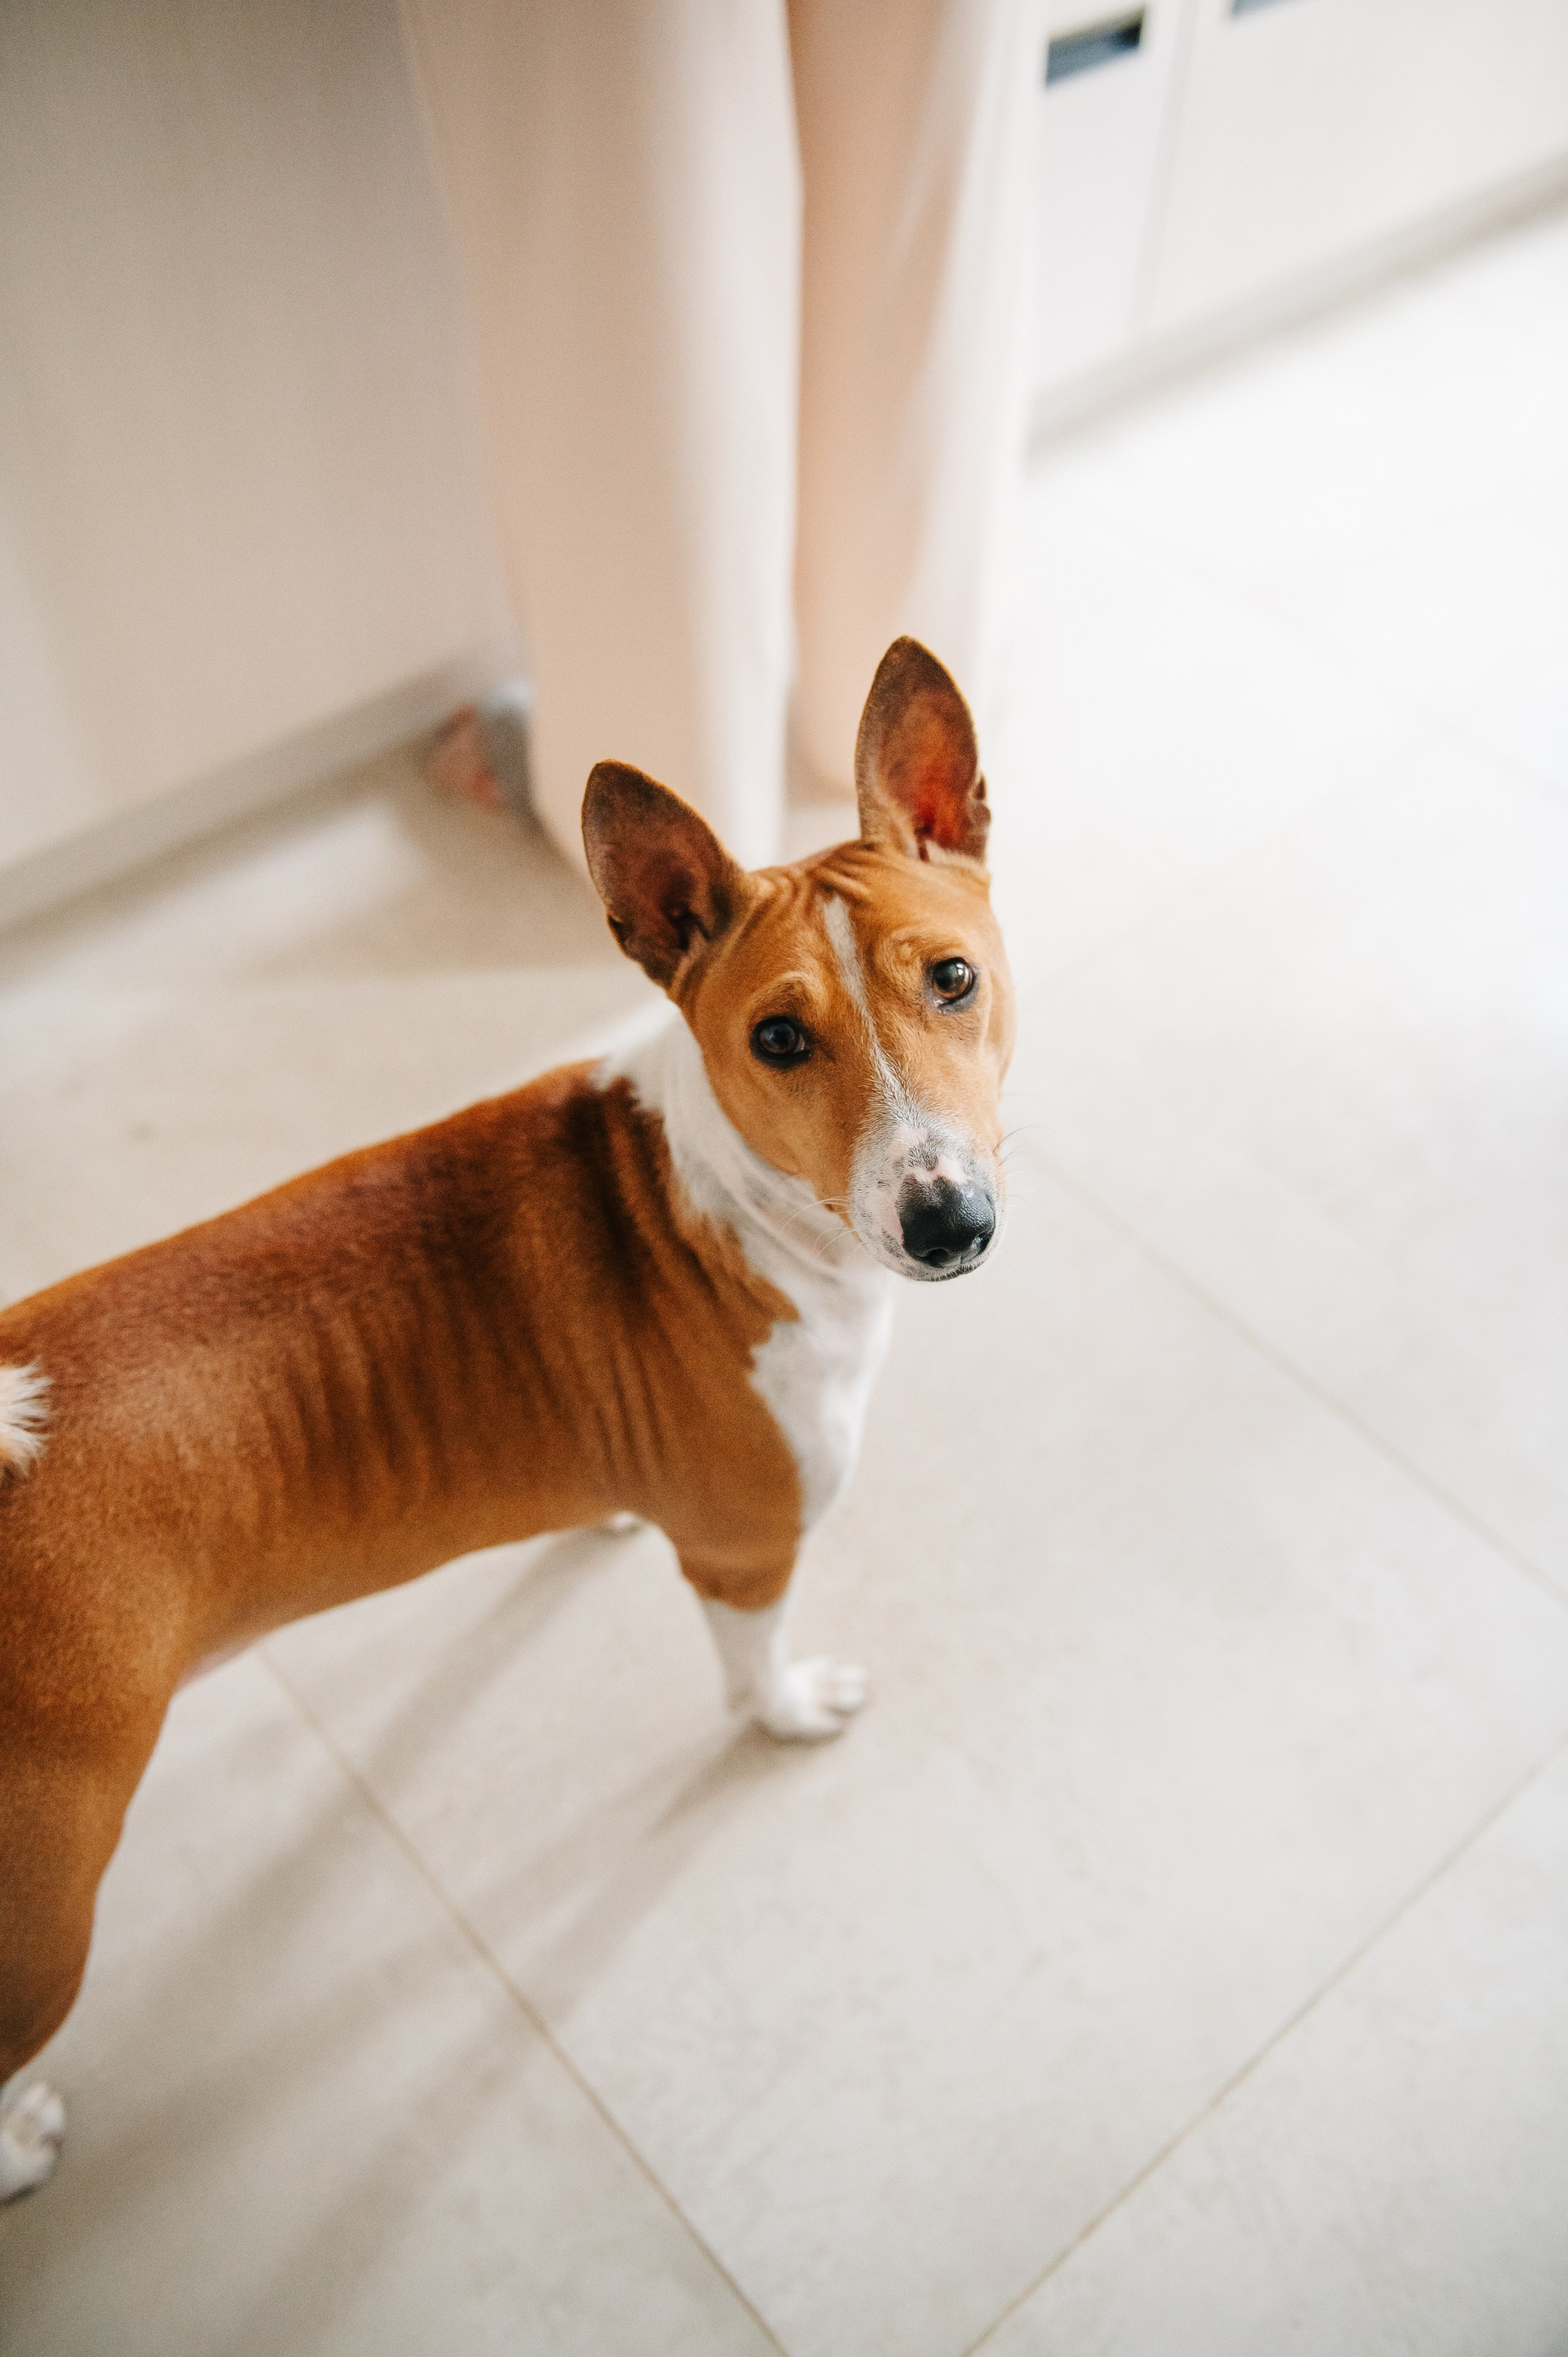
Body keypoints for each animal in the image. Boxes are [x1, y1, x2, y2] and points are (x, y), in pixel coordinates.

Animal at [0, 638, 1015, 2200]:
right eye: (780, 1037)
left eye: (954, 978)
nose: (948, 1220)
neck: (730, 1212)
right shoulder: (746, 1552)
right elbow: (753, 1672)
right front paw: (789, 1712)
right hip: (43, 1904)